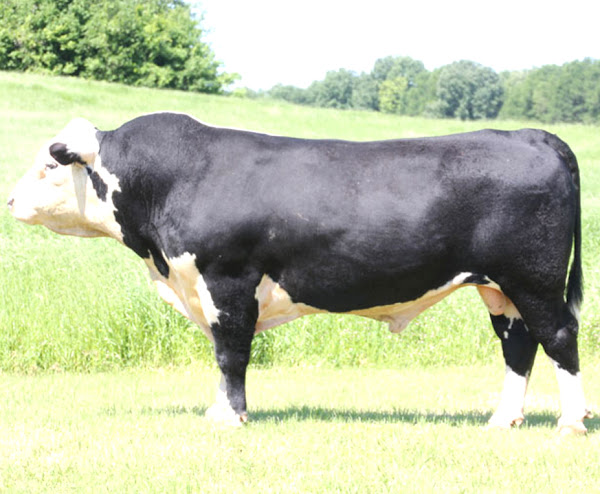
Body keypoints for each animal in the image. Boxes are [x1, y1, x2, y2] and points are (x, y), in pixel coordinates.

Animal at [8, 112, 592, 432]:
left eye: (51, 165)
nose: (10, 199)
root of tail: (528, 135)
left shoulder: (228, 280)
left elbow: (231, 352)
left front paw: (231, 417)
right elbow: (222, 352)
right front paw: (220, 410)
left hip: (534, 280)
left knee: (560, 336)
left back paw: (571, 421)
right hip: (501, 288)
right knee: (519, 345)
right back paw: (503, 418)